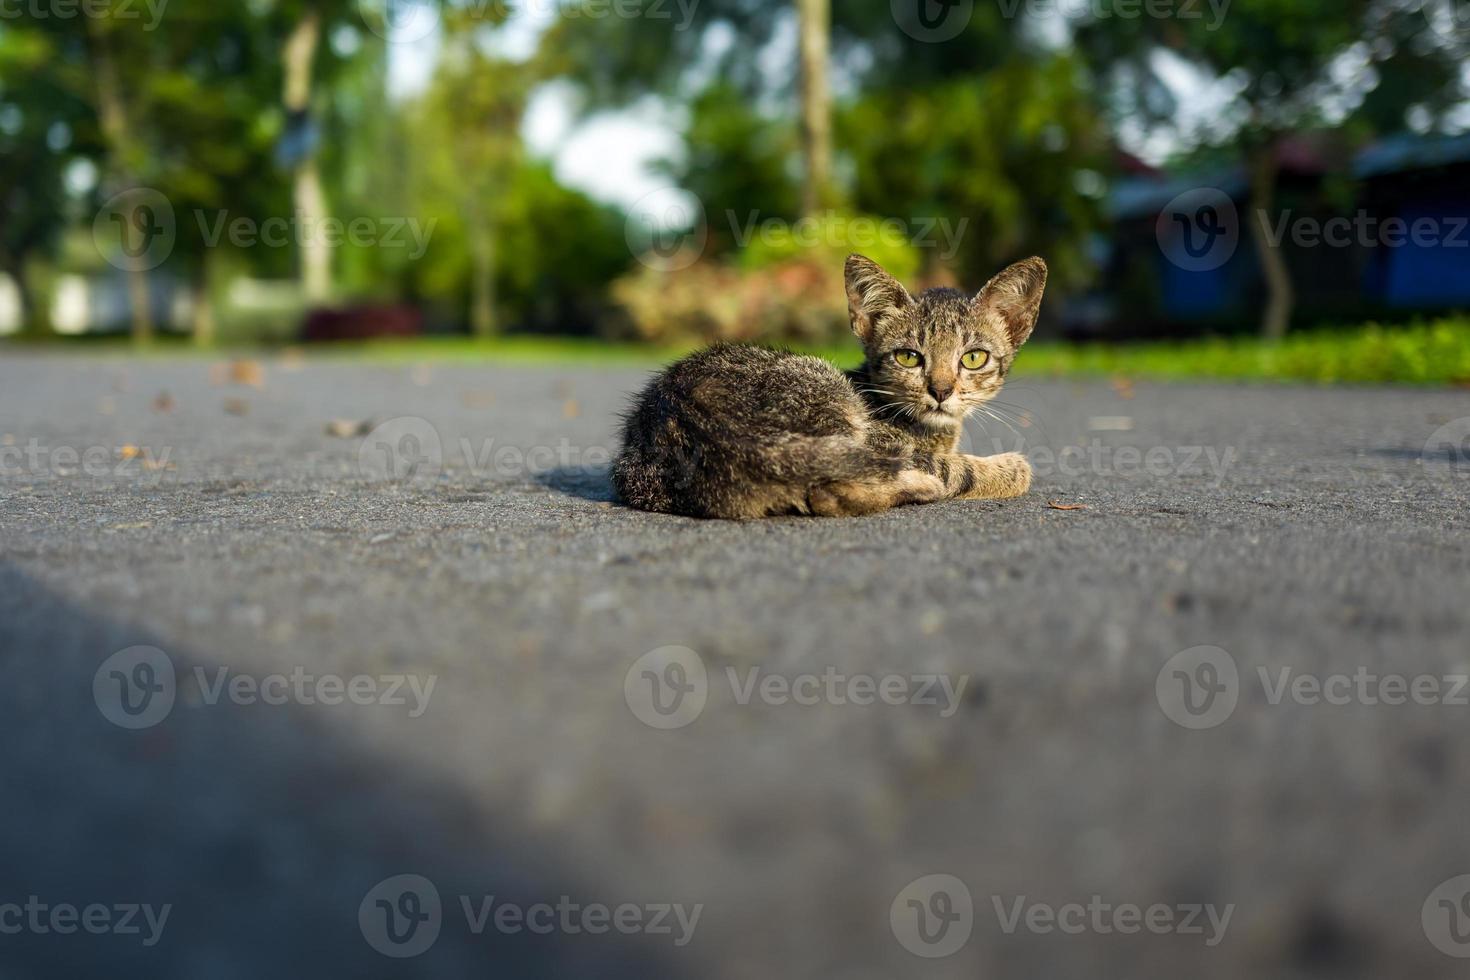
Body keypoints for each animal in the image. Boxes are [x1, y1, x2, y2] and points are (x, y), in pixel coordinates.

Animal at [611, 257, 1046, 525]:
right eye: (908, 357)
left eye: (973, 358)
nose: (941, 390)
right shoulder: (888, 445)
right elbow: (973, 470)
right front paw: (1008, 468)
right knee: (827, 494)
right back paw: (920, 488)